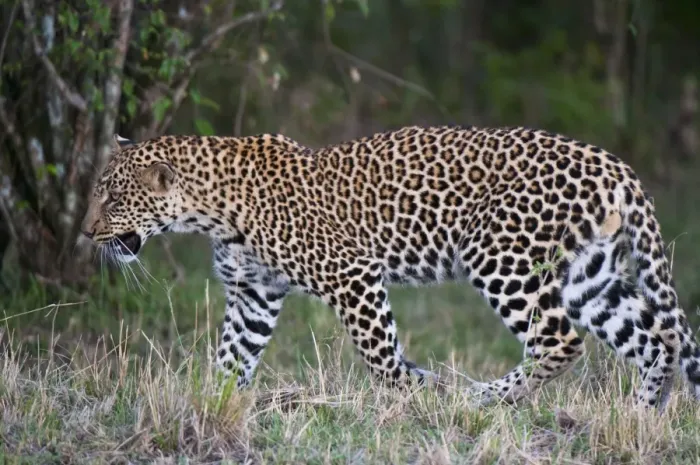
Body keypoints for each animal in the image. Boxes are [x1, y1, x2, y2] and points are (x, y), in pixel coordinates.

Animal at [81, 125, 700, 411]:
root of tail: (613, 163)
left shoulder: (351, 274)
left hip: (499, 255)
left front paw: (418, 392)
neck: (208, 209)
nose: (86, 232)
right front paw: (210, 405)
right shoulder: (253, 295)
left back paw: (480, 397)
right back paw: (641, 415)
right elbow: (230, 361)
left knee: (562, 341)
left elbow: (380, 358)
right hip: (588, 276)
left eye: (112, 198)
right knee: (655, 338)